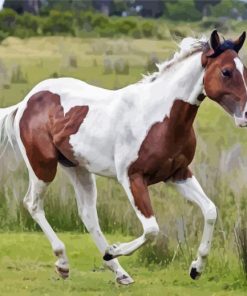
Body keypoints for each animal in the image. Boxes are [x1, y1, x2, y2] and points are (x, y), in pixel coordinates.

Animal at [0, 30, 246, 284]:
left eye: (244, 69)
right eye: (226, 71)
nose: (245, 116)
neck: (158, 116)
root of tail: (27, 101)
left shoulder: (178, 175)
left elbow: (210, 211)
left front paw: (196, 268)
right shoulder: (132, 178)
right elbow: (152, 229)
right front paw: (113, 250)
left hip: (78, 169)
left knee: (88, 215)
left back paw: (120, 273)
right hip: (43, 167)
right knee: (33, 204)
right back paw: (64, 263)